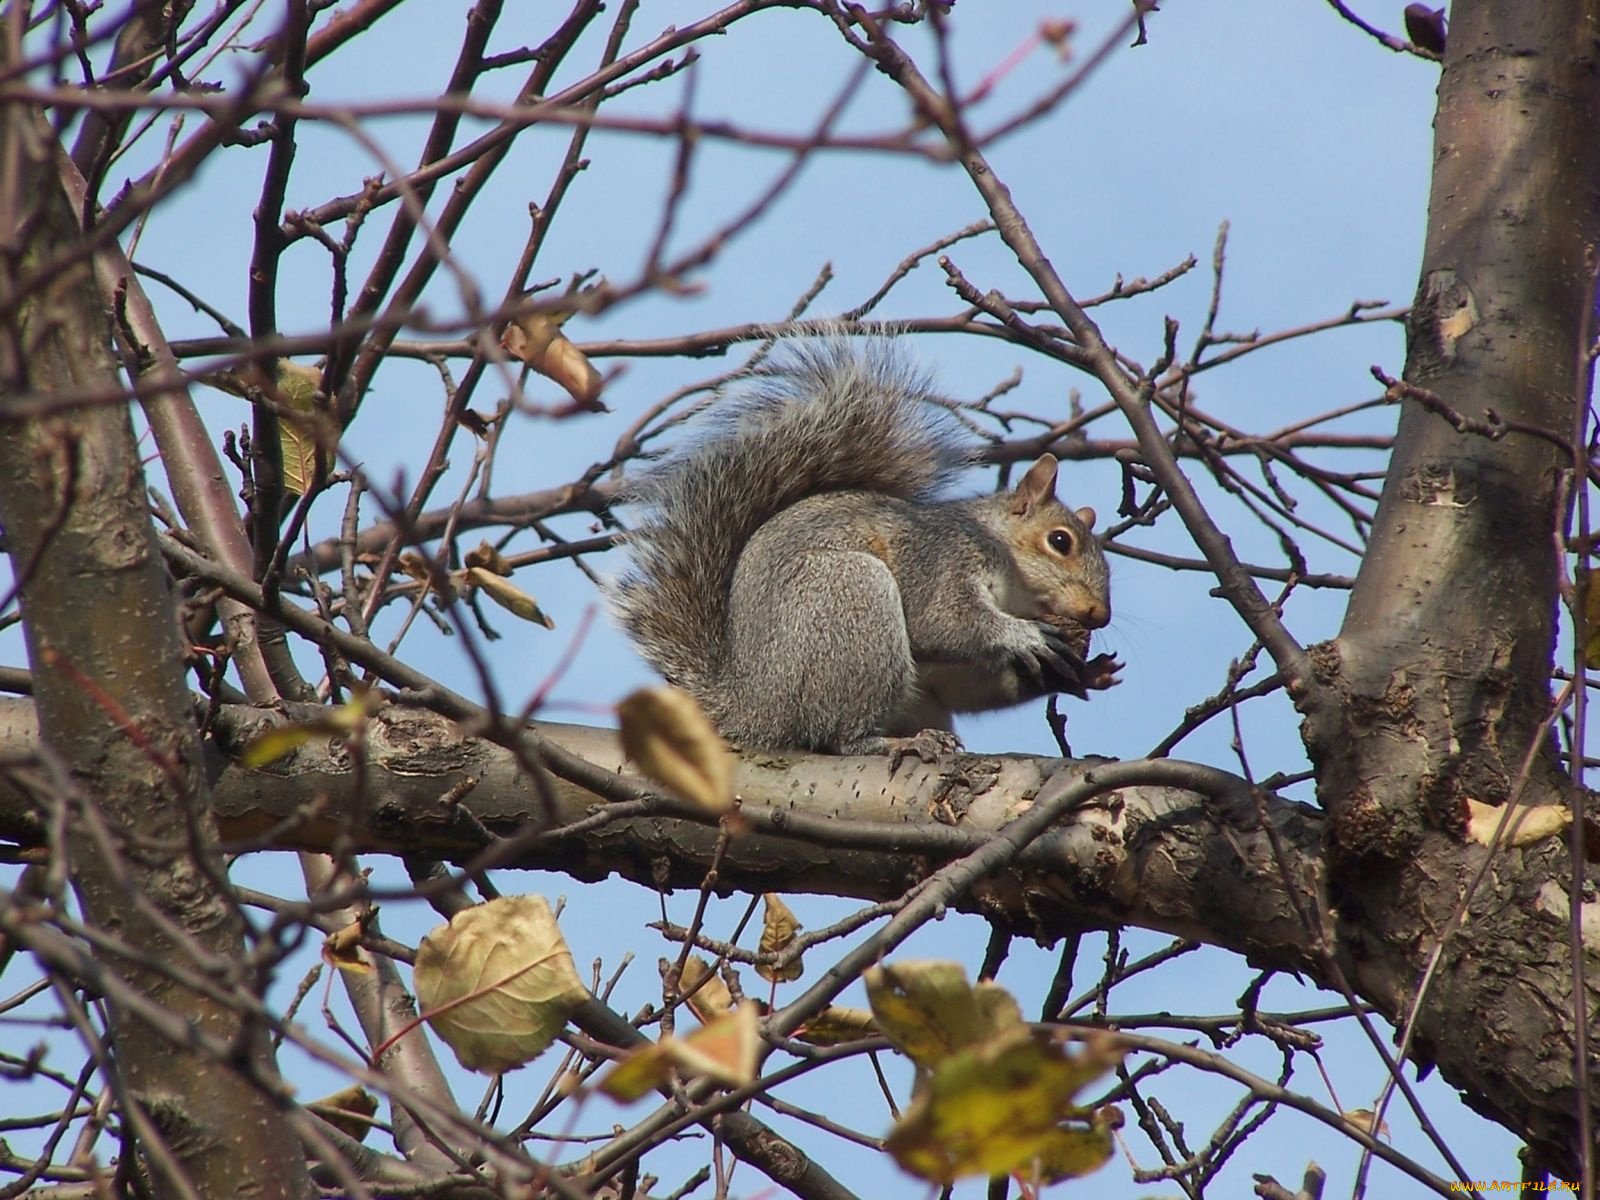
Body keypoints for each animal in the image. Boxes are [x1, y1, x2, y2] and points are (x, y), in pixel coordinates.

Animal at [611, 336, 1126, 761]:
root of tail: (753, 709)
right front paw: (1026, 634)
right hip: (852, 602)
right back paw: (889, 743)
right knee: (836, 735)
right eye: (1059, 541)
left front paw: (1084, 674)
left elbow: (971, 687)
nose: (1099, 615)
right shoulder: (938, 558)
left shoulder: (945, 678)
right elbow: (942, 620)